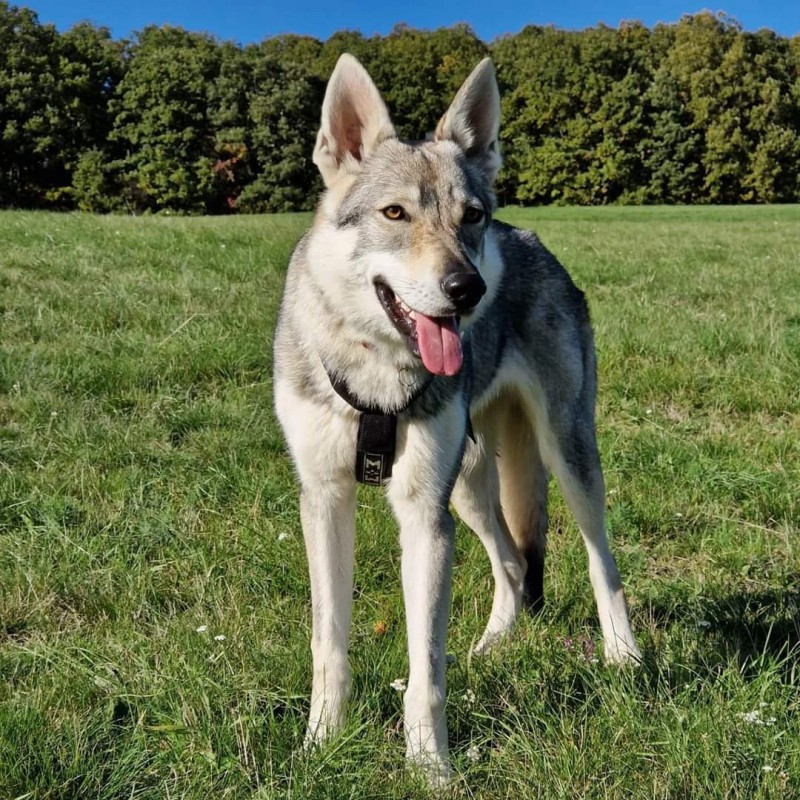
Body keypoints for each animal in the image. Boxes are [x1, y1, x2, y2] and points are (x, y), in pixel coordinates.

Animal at [273, 53, 641, 785]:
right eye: (395, 213)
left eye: (470, 217)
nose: (468, 289)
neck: (376, 371)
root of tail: (528, 237)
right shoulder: (324, 500)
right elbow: (329, 646)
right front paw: (320, 745)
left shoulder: (422, 516)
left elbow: (426, 673)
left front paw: (430, 769)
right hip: (469, 484)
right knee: (514, 564)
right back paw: (494, 645)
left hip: (564, 456)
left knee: (600, 560)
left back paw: (625, 656)